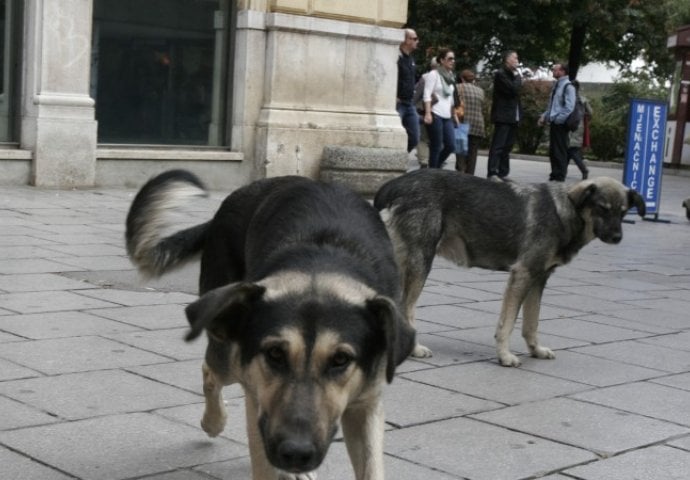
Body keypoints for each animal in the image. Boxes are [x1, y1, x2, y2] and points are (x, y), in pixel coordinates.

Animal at [125, 171, 414, 478]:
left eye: (340, 360)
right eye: (275, 353)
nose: (296, 453)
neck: (322, 265)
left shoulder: (367, 404)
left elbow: (372, 467)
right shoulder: (258, 406)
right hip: (227, 348)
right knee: (210, 370)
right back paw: (213, 421)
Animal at [374, 170, 644, 368]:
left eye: (623, 212)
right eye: (602, 208)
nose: (617, 237)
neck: (563, 212)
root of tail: (394, 184)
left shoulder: (538, 279)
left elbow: (531, 322)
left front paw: (535, 350)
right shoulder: (522, 274)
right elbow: (509, 323)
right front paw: (504, 356)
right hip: (420, 264)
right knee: (406, 307)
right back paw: (413, 349)